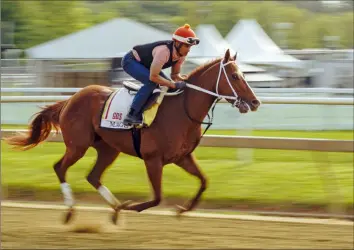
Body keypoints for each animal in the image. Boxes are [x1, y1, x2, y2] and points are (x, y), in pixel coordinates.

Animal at [4, 48, 260, 223]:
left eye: (243, 74)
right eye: (235, 76)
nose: (255, 102)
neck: (182, 109)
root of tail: (70, 99)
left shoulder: (182, 157)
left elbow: (204, 181)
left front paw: (182, 209)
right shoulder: (153, 159)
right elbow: (157, 197)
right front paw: (132, 206)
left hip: (108, 148)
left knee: (93, 176)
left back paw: (115, 208)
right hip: (78, 145)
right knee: (60, 168)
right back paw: (71, 211)